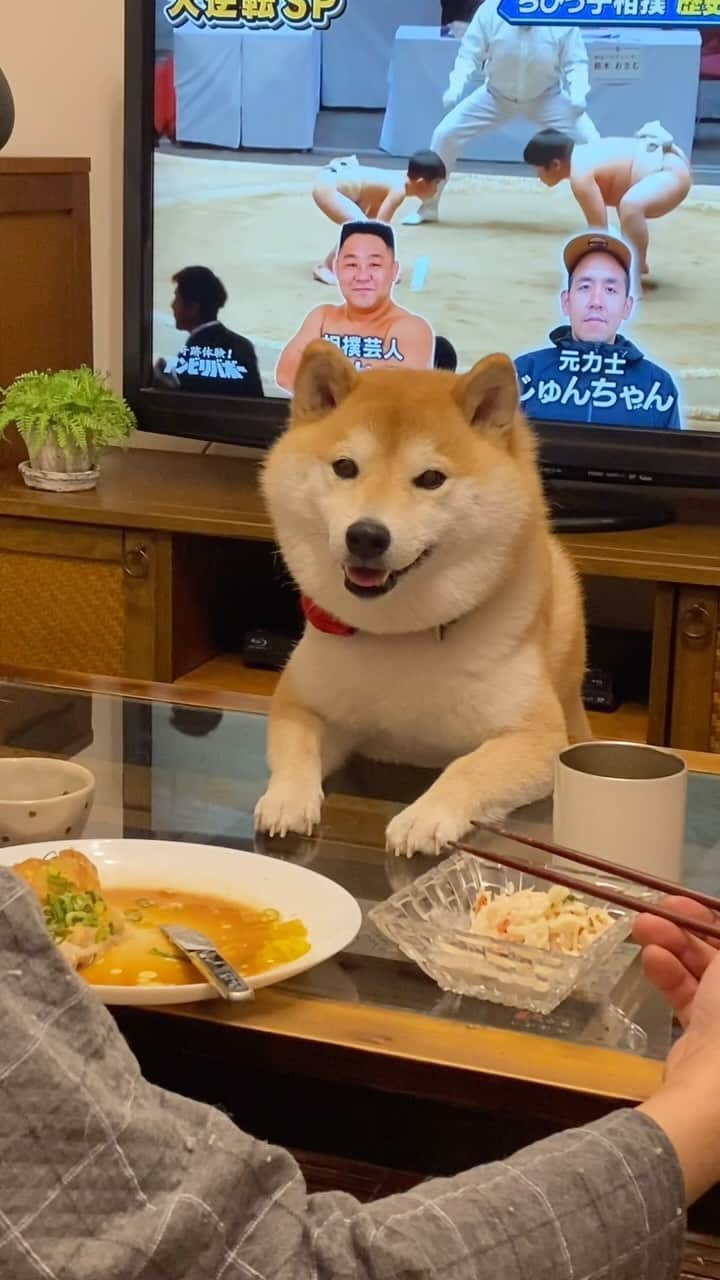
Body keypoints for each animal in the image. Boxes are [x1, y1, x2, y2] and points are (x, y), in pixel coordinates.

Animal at [254, 345, 586, 855]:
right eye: (345, 467)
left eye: (431, 478)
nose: (366, 535)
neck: (402, 633)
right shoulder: (304, 702)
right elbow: (296, 748)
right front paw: (287, 799)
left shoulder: (538, 737)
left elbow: (468, 767)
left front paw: (427, 815)